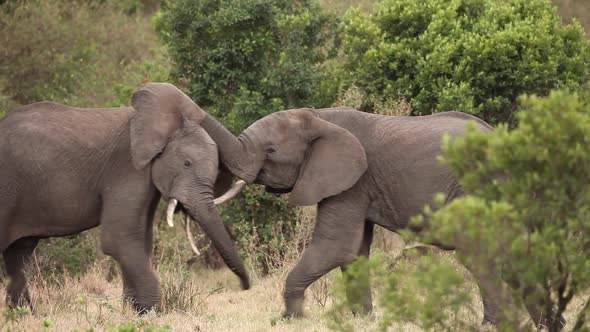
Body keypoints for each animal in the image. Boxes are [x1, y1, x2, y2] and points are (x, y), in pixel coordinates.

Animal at [131, 83, 568, 330]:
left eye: (270, 151)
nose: (148, 92)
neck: (319, 117)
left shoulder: (351, 182)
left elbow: (336, 246)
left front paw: (289, 319)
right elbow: (354, 251)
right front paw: (361, 320)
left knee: (484, 256)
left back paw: (492, 325)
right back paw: (551, 324)